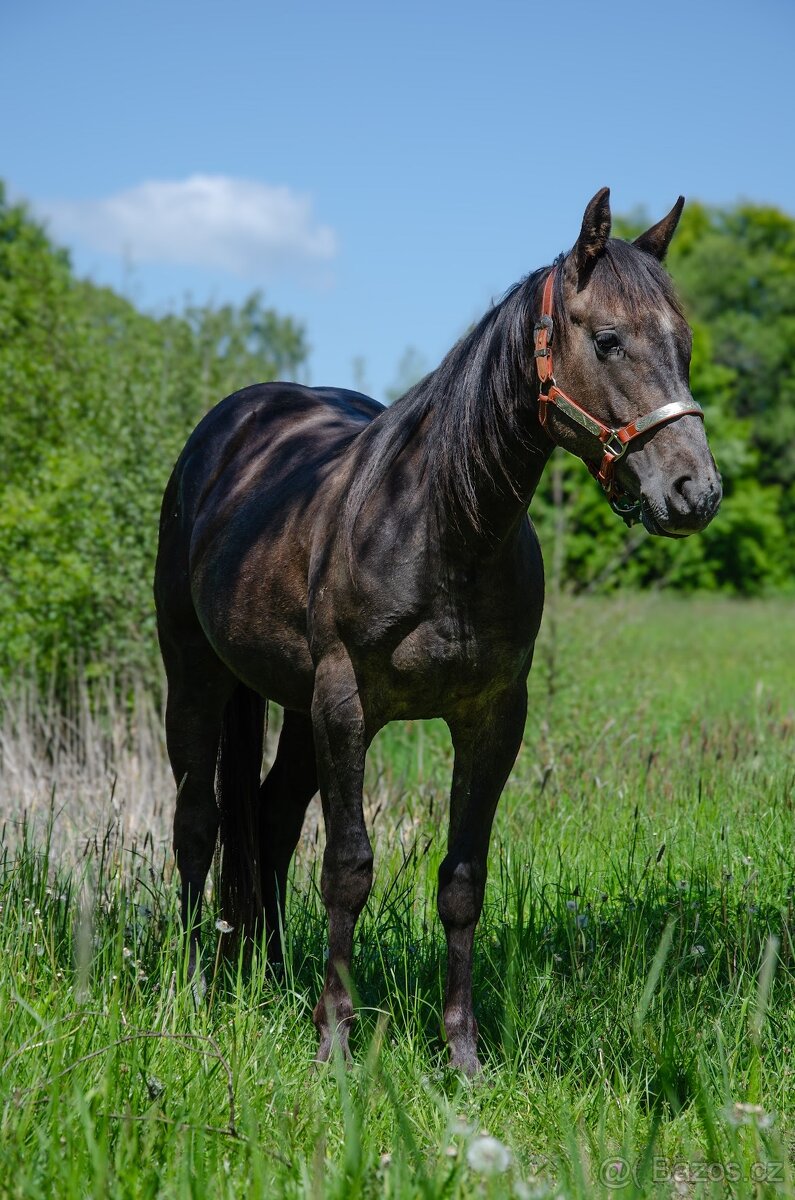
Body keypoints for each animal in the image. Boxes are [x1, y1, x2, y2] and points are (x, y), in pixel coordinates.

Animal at [154, 188, 722, 1074]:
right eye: (607, 338)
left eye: (683, 344)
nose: (694, 492)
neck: (442, 527)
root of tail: (230, 425)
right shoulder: (346, 708)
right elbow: (347, 869)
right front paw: (335, 1040)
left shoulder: (489, 718)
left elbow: (462, 880)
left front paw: (461, 1053)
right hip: (196, 676)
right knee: (197, 823)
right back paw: (192, 989)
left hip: (291, 707)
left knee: (271, 821)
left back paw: (272, 974)